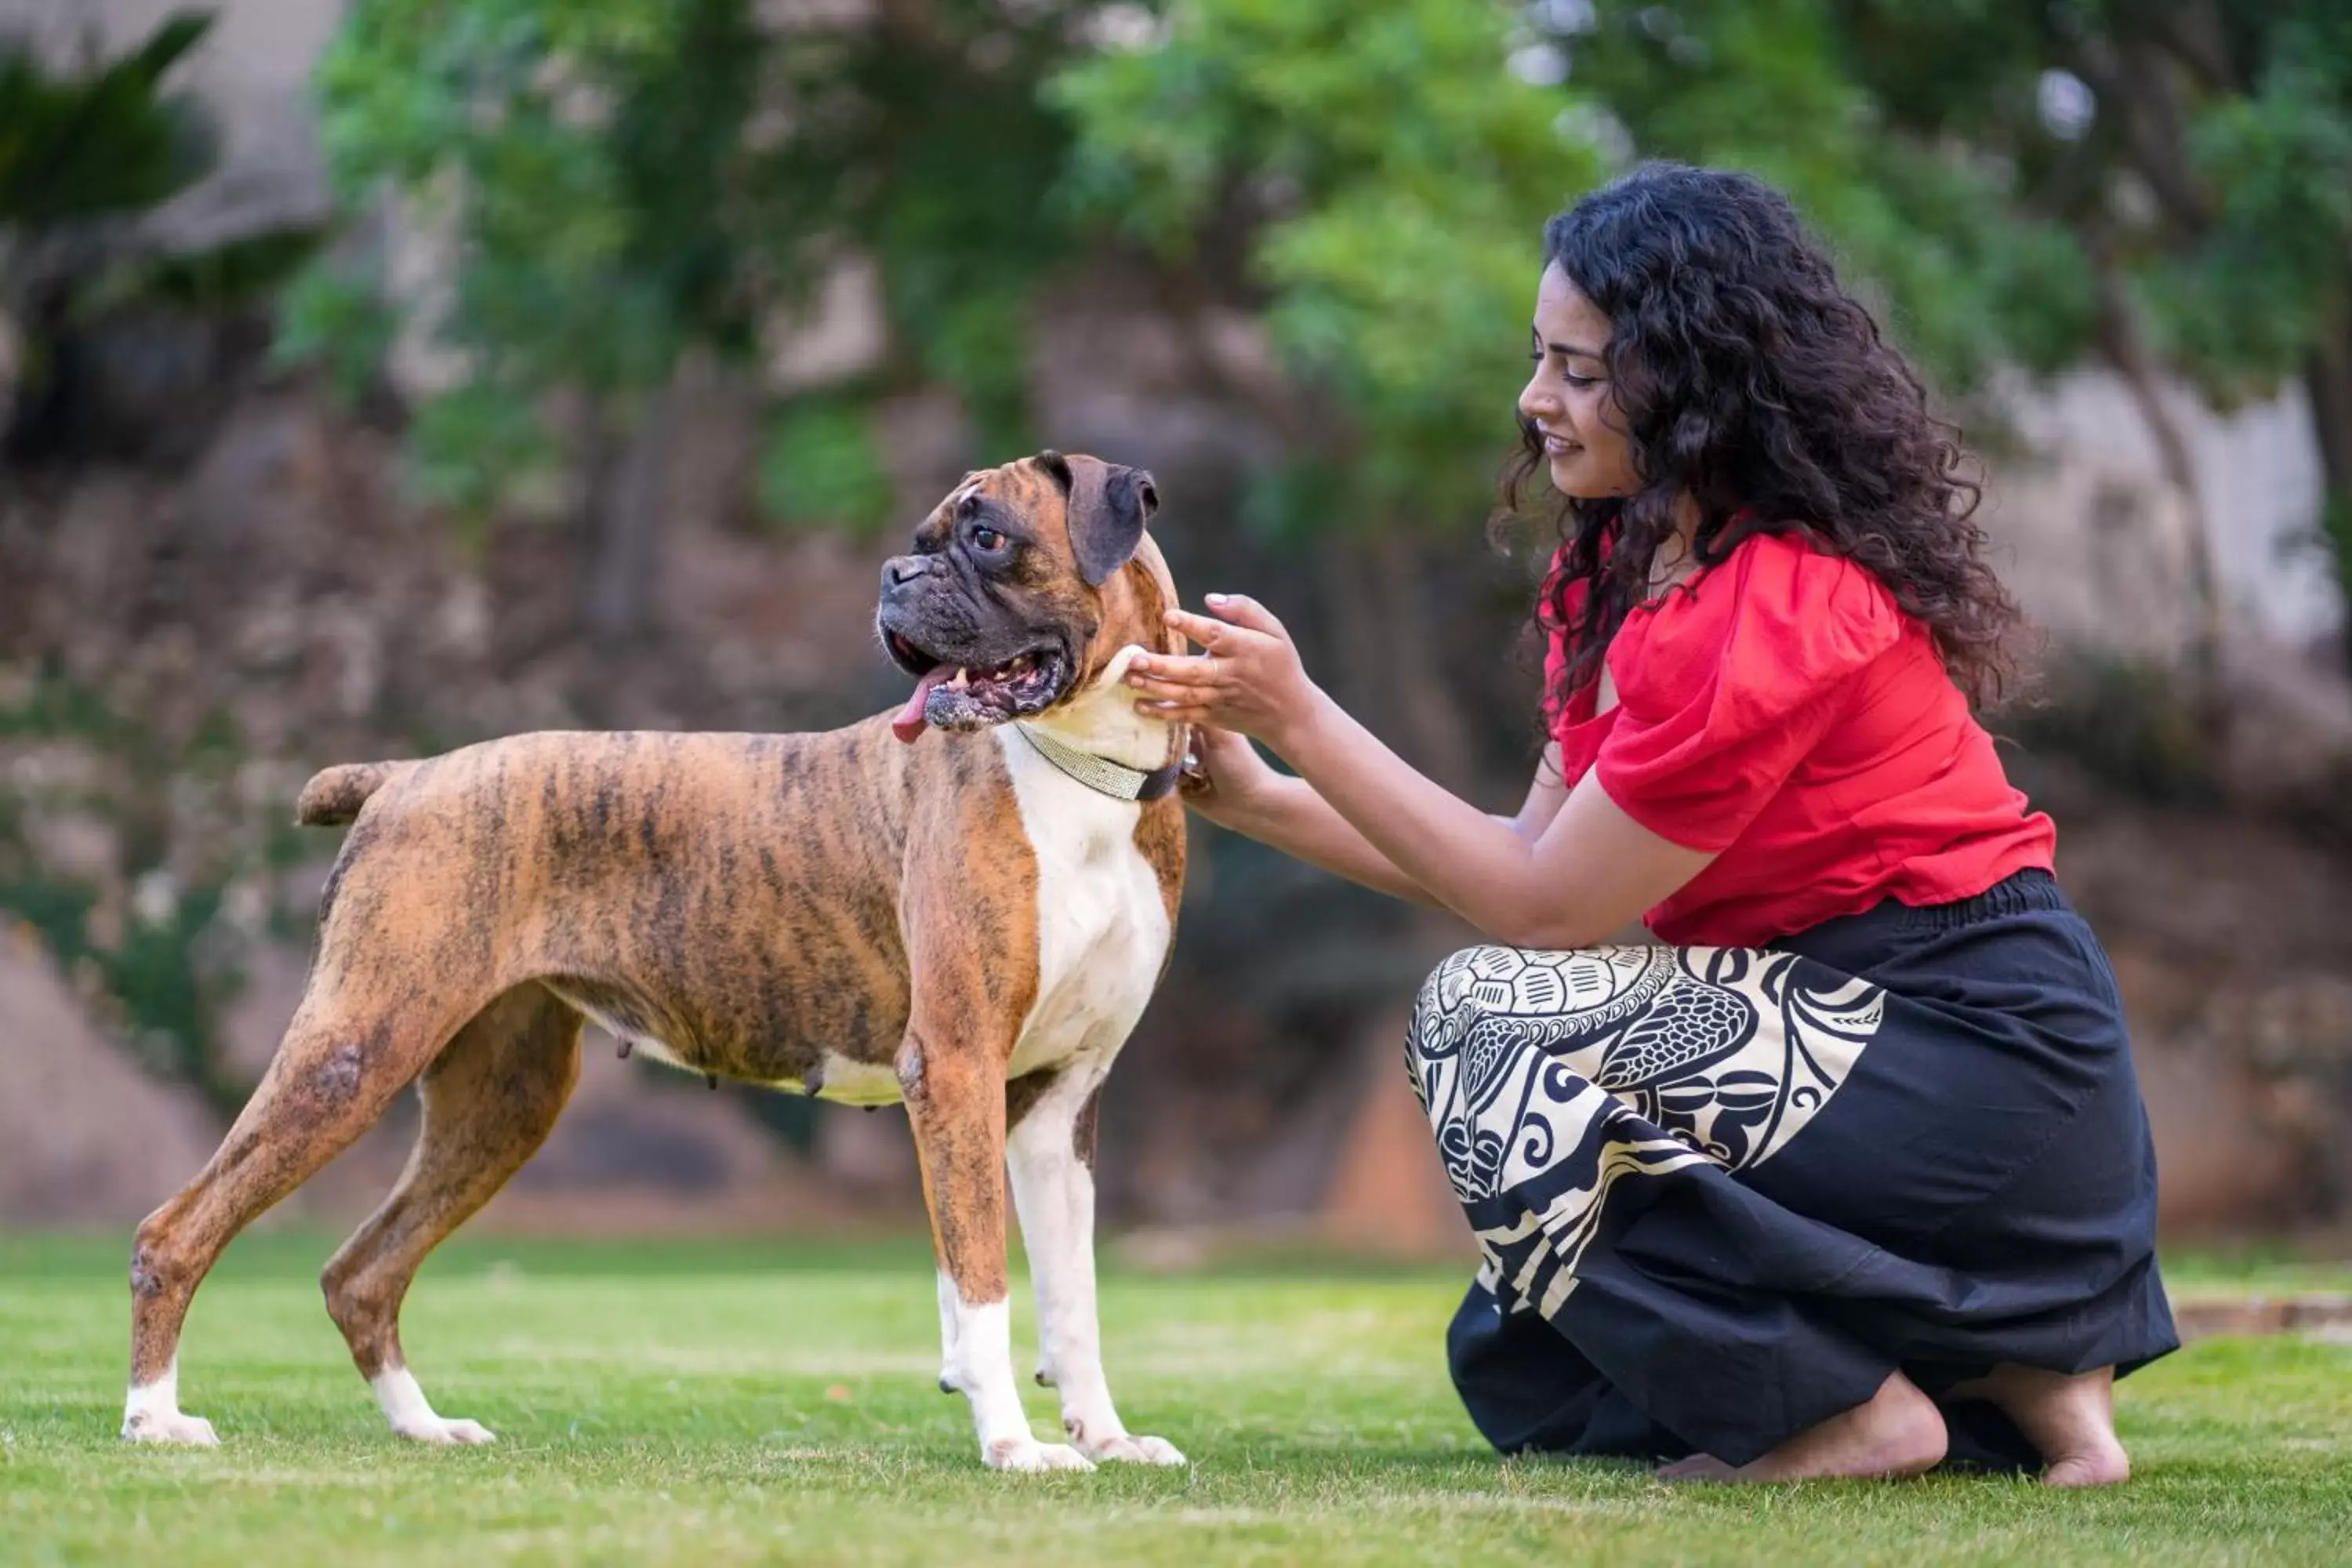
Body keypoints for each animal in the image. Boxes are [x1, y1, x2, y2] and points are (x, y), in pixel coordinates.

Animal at [124, 451, 1195, 1476]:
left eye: (986, 535)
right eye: (927, 540)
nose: (896, 575)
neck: (1087, 775)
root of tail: (408, 775)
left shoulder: (1058, 1105)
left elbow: (1072, 1300)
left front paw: (1106, 1438)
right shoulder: (958, 1066)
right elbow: (981, 1287)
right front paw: (1014, 1444)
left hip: (501, 1104)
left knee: (360, 1273)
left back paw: (423, 1426)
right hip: (354, 1050)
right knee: (174, 1232)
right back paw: (155, 1419)